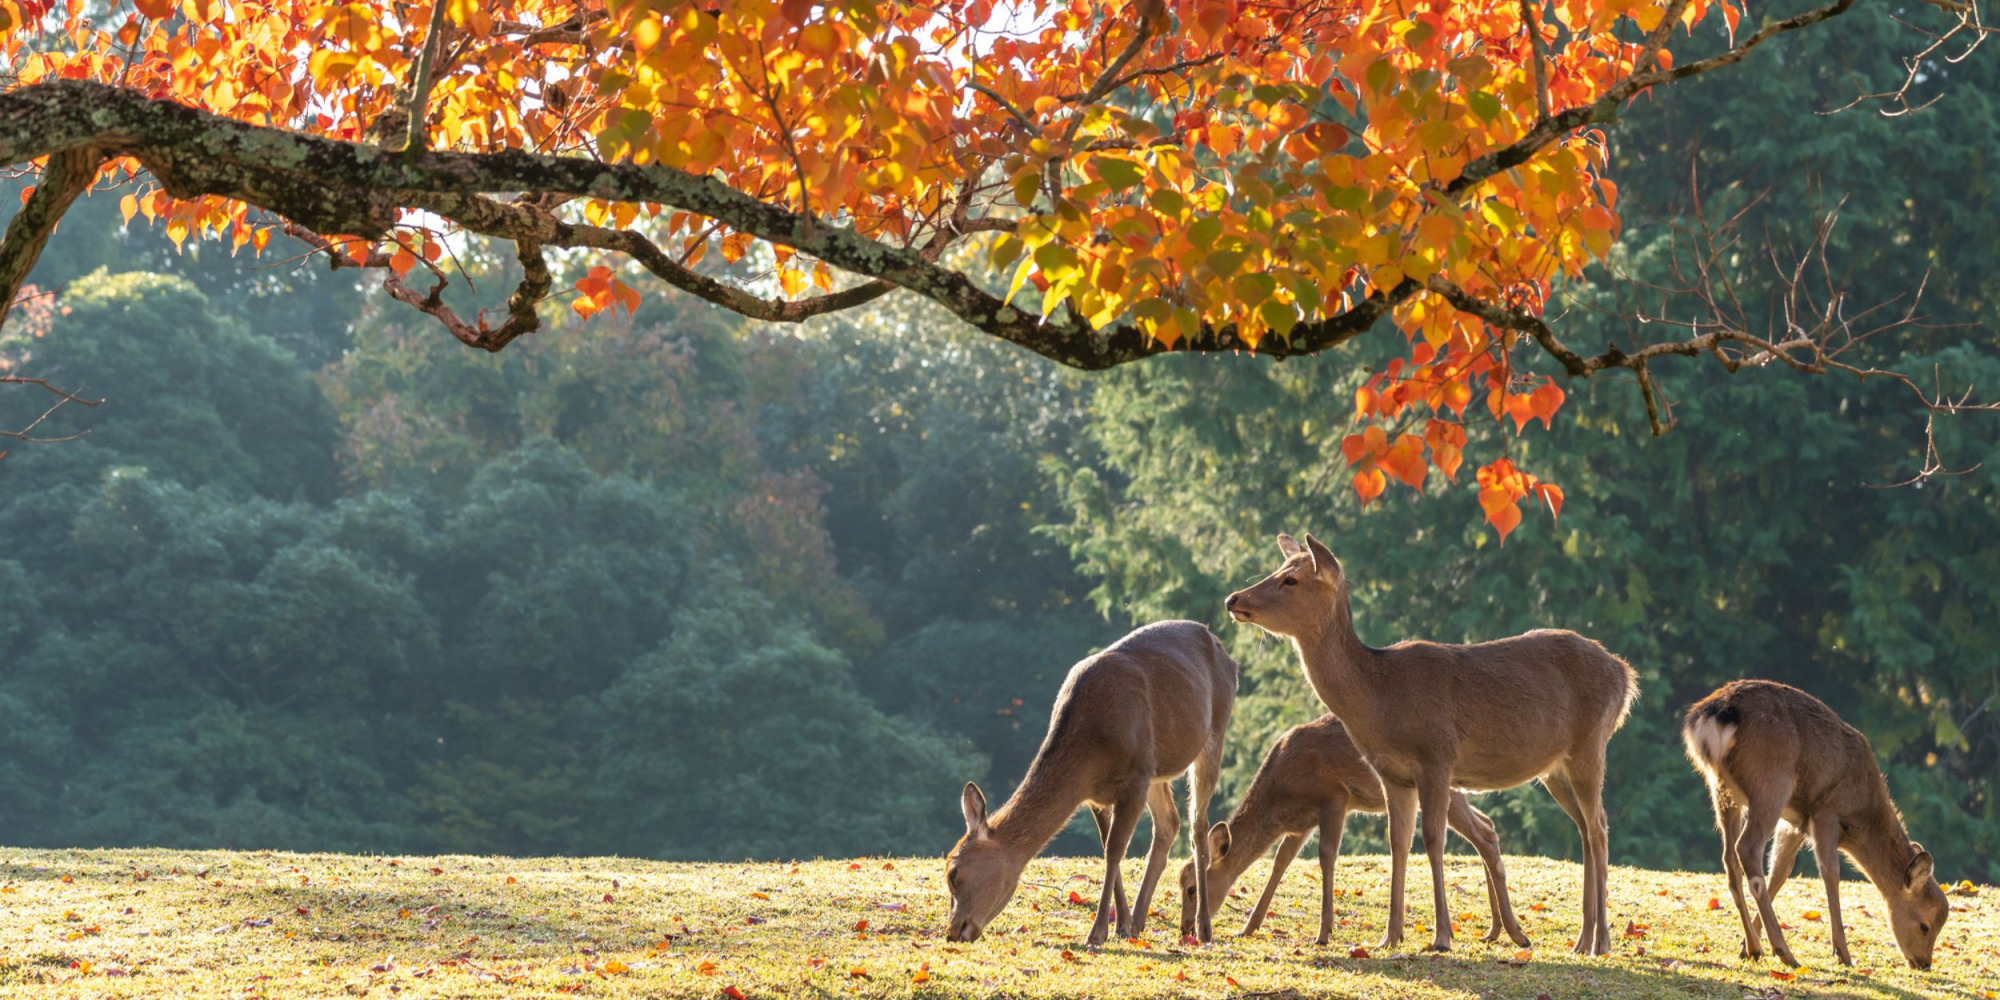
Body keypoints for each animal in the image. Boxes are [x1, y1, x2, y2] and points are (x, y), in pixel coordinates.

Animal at [944, 620, 1237, 946]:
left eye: (953, 873)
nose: (953, 931)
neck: (1092, 748)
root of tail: (1227, 655)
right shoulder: (1098, 795)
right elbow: (1107, 847)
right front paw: (1121, 926)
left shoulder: (1135, 778)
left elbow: (1114, 850)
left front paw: (1096, 933)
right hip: (1157, 769)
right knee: (1169, 823)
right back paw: (1139, 921)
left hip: (1213, 734)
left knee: (1197, 826)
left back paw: (1203, 926)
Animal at [1175, 713, 1531, 948]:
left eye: (1192, 888)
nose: (1186, 929)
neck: (1281, 793)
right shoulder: (1300, 825)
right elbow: (1280, 862)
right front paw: (1247, 928)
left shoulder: (1334, 797)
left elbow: (1326, 857)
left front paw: (1323, 933)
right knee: (1487, 827)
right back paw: (1495, 930)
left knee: (1483, 834)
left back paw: (1504, 931)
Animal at [1225, 533, 1638, 955]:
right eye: (1278, 569)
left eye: (1290, 580)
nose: (1233, 599)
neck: (1381, 699)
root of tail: (1626, 675)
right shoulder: (1393, 775)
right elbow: (1398, 842)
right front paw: (1389, 936)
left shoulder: (1437, 757)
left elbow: (1433, 840)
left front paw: (1441, 936)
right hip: (1555, 768)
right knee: (1586, 829)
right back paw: (1580, 940)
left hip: (1590, 745)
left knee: (1599, 828)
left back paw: (1601, 941)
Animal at [1682, 679, 1949, 970]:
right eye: (1925, 926)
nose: (1923, 963)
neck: (1863, 812)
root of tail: (1715, 715)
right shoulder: (1826, 813)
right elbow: (1830, 873)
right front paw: (1842, 952)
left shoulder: (1796, 822)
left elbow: (1780, 871)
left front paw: (1742, 945)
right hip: (1771, 783)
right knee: (1747, 848)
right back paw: (1784, 951)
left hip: (1721, 787)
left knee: (1730, 859)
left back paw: (1754, 947)